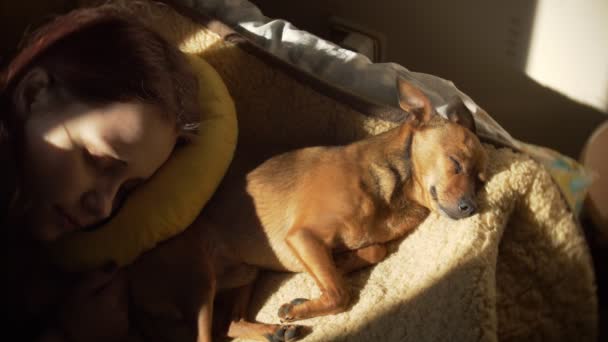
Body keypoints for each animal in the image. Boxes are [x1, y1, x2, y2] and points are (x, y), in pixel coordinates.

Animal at [128, 77, 490, 342]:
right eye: (456, 163)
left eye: (480, 180)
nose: (471, 207)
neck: (396, 195)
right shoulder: (303, 236)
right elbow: (340, 293)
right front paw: (303, 305)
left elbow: (375, 251)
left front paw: (341, 263)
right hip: (199, 280)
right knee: (205, 335)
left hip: (245, 274)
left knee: (228, 323)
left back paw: (275, 331)